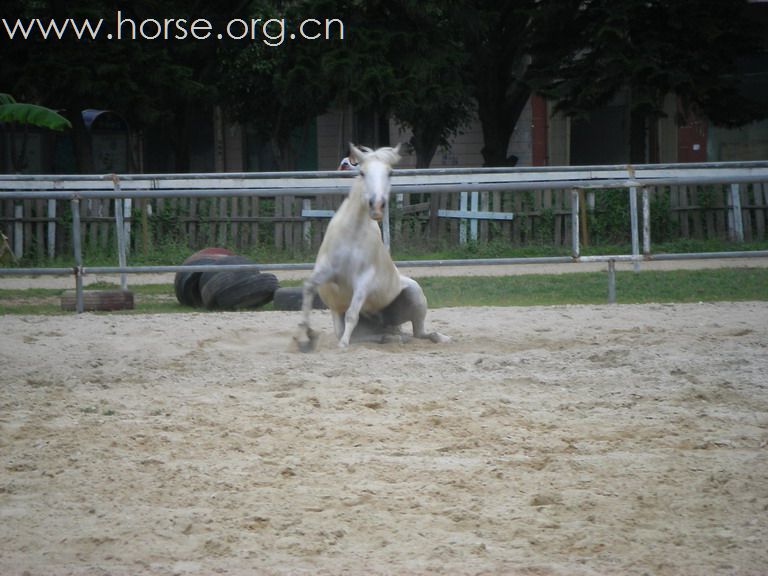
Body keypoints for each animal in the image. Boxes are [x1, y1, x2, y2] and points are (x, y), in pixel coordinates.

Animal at [294, 144, 450, 352]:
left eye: (390, 173)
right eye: (362, 172)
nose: (377, 205)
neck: (351, 235)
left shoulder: (363, 280)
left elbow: (352, 313)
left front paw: (341, 345)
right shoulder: (326, 271)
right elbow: (309, 288)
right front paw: (305, 337)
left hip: (415, 295)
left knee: (420, 333)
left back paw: (440, 338)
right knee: (383, 335)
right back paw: (393, 338)